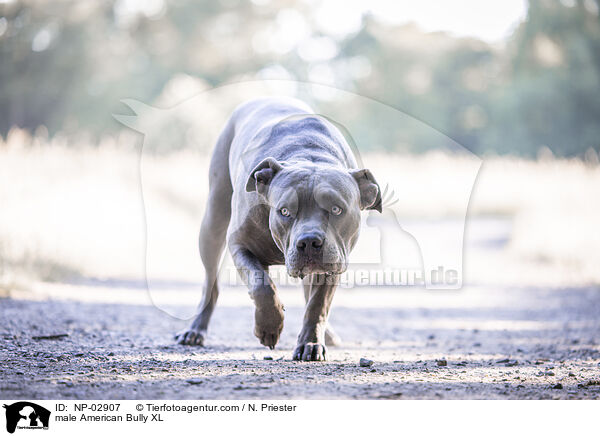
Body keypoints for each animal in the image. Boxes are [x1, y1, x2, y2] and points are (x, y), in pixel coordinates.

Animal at [175, 97, 380, 360]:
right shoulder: (240, 244)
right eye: (284, 211)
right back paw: (195, 330)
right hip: (212, 223)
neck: (308, 155)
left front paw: (310, 343)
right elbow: (261, 285)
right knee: (211, 282)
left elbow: (318, 304)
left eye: (336, 209)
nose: (309, 241)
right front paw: (269, 327)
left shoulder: (334, 262)